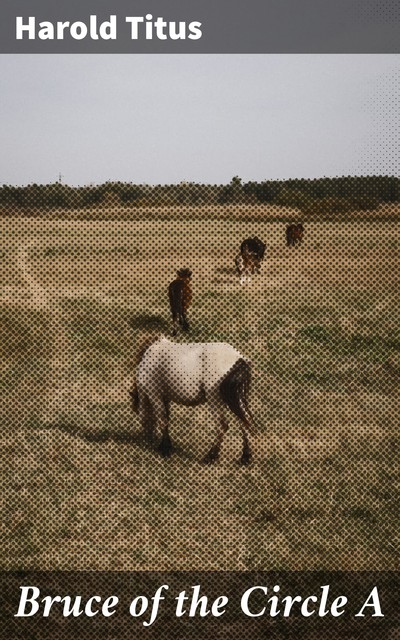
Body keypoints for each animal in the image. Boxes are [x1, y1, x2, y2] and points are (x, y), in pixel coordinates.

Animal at [131, 336, 256, 464]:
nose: (149, 440)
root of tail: (238, 358)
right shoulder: (165, 398)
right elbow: (166, 419)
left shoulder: (155, 395)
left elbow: (162, 419)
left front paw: (165, 448)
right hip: (236, 400)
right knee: (245, 423)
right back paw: (245, 457)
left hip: (215, 400)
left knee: (223, 425)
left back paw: (210, 456)